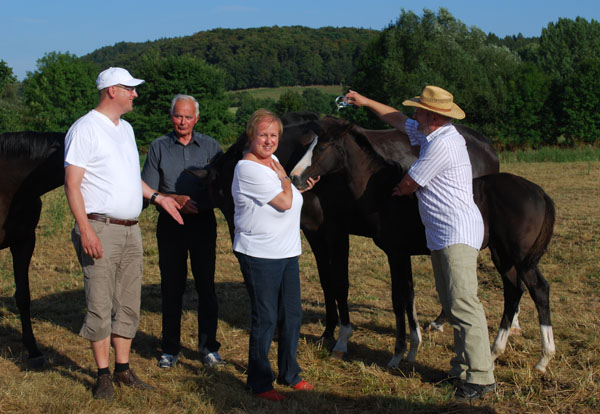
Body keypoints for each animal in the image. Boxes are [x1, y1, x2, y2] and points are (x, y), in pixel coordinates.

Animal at [193, 114, 502, 368]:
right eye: (220, 201)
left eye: (238, 197)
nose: (241, 250)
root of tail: (486, 145)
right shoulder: (313, 232)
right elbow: (326, 280)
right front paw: (328, 331)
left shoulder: (335, 232)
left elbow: (340, 282)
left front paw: (342, 338)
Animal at [290, 118, 556, 374]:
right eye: (310, 144)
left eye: (322, 147)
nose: (295, 177)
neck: (383, 193)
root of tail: (539, 192)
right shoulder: (403, 254)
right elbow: (409, 295)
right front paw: (412, 350)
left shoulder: (394, 252)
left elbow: (398, 299)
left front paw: (396, 355)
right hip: (503, 255)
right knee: (513, 291)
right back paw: (494, 351)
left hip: (520, 258)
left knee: (539, 290)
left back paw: (543, 359)